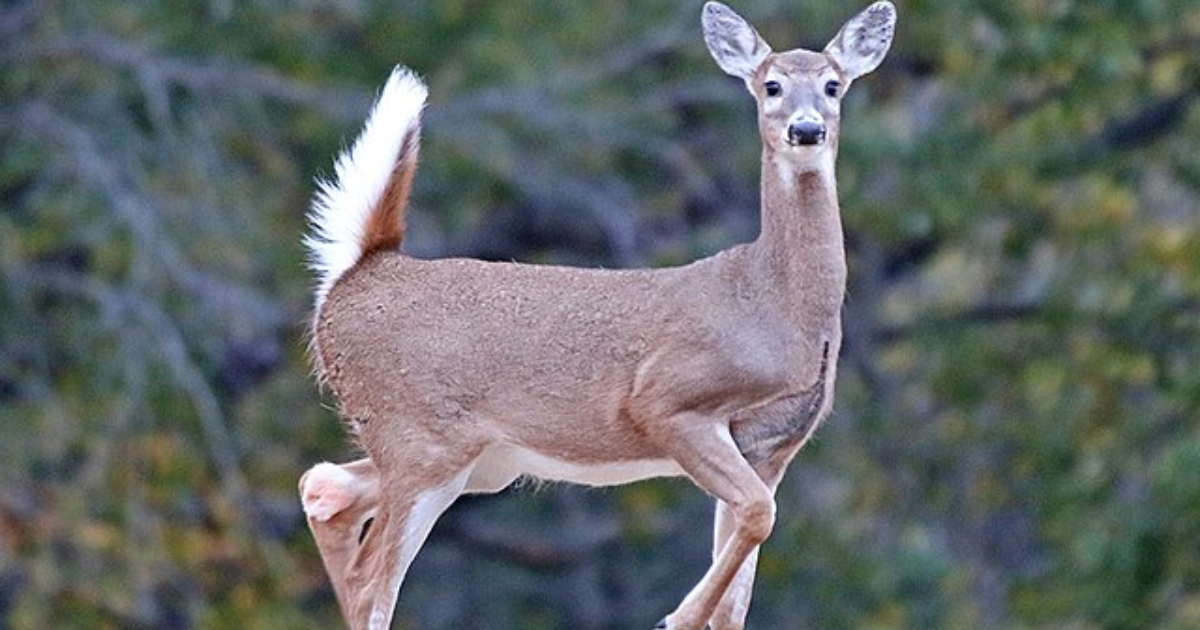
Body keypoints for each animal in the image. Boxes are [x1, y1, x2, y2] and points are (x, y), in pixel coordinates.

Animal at [297, 2, 902, 624]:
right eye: (771, 85)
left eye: (833, 85)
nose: (806, 129)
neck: (772, 304)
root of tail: (357, 274)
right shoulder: (668, 401)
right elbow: (759, 516)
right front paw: (676, 618)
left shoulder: (771, 449)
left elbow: (738, 596)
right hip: (418, 437)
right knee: (370, 582)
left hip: (479, 460)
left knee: (325, 486)